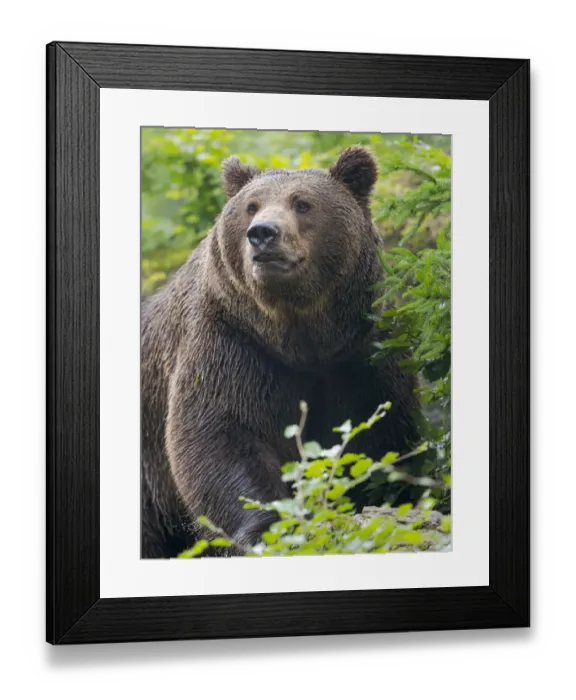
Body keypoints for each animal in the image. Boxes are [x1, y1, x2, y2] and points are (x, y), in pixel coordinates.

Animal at [141, 146, 420, 559]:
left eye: (302, 203)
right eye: (251, 206)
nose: (262, 233)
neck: (299, 339)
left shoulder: (363, 356)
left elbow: (381, 435)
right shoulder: (231, 344)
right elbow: (221, 435)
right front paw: (265, 526)